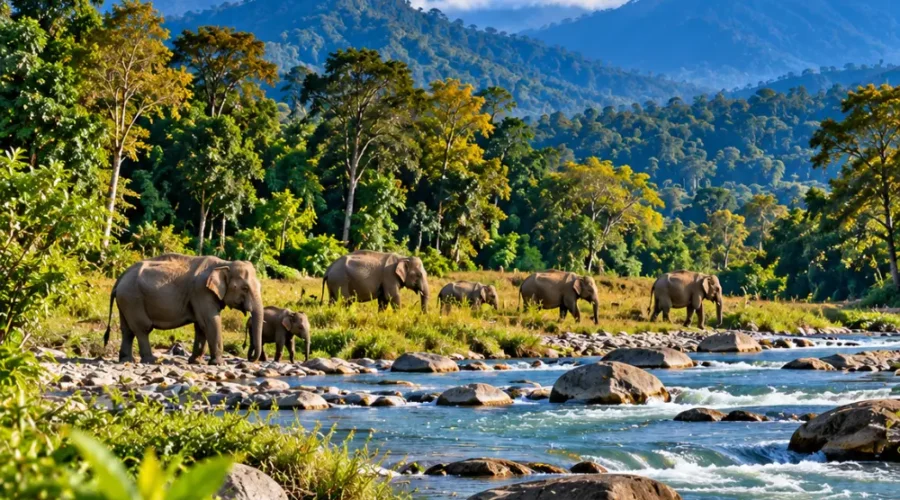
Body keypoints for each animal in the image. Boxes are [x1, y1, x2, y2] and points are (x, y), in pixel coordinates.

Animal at [103, 253, 263, 365]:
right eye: (245, 288)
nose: (250, 359)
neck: (224, 263)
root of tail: (120, 278)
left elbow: (201, 326)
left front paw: (196, 362)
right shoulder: (201, 291)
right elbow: (210, 322)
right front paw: (219, 364)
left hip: (125, 301)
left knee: (127, 330)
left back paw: (126, 360)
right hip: (133, 299)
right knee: (142, 328)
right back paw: (150, 360)